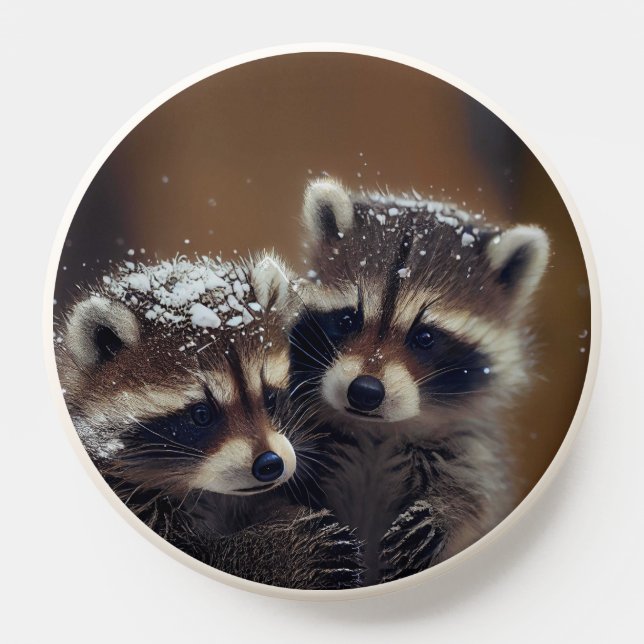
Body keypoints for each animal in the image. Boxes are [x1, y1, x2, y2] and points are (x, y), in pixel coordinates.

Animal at [289, 178, 550, 584]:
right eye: (347, 320)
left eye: (424, 337)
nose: (365, 392)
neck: (377, 433)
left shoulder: (467, 444)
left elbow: (478, 493)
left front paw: (447, 510)